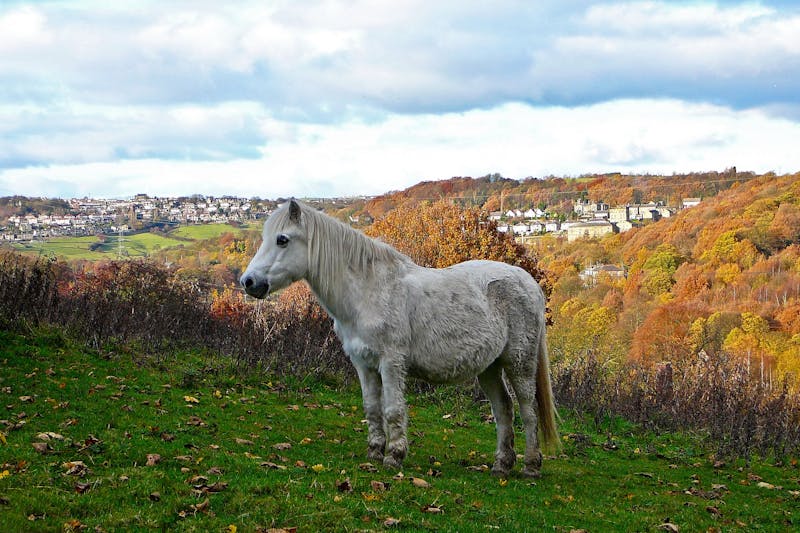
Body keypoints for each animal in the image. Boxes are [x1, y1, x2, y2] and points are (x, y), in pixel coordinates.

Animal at [241, 200, 560, 478]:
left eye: (282, 240)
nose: (248, 282)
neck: (369, 290)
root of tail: (528, 282)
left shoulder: (391, 363)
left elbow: (393, 409)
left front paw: (394, 455)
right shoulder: (364, 365)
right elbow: (372, 408)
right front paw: (374, 452)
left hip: (520, 363)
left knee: (528, 410)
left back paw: (531, 466)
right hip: (489, 368)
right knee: (504, 409)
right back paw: (501, 465)